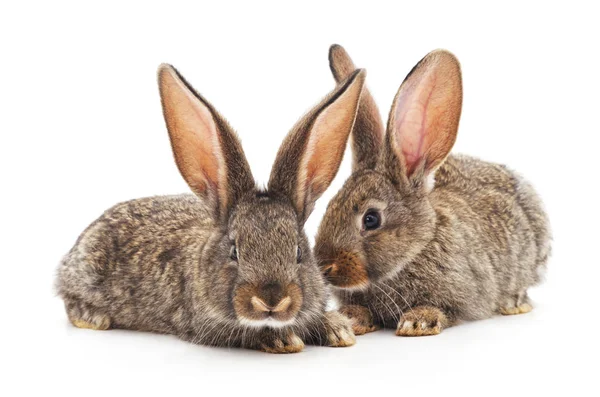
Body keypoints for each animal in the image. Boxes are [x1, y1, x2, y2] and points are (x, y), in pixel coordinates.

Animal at [56, 63, 366, 352]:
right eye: (234, 251)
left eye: (299, 252)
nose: (271, 301)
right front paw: (284, 339)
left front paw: (337, 329)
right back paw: (93, 317)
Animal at [314, 44, 552, 336]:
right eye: (329, 206)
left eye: (371, 219)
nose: (325, 266)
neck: (416, 249)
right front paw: (350, 317)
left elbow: (446, 310)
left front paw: (418, 321)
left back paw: (512, 303)